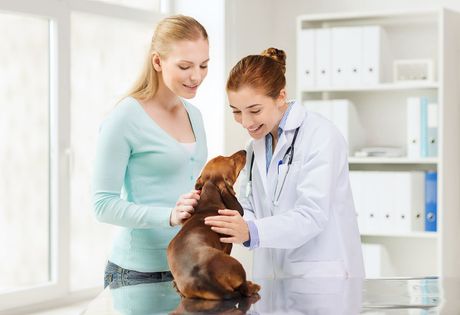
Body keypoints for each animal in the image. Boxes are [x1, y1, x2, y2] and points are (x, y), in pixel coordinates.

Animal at [167, 151, 260, 302]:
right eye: (231, 161)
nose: (244, 151)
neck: (209, 204)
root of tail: (203, 278)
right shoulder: (228, 245)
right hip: (237, 265)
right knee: (244, 289)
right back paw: (253, 286)